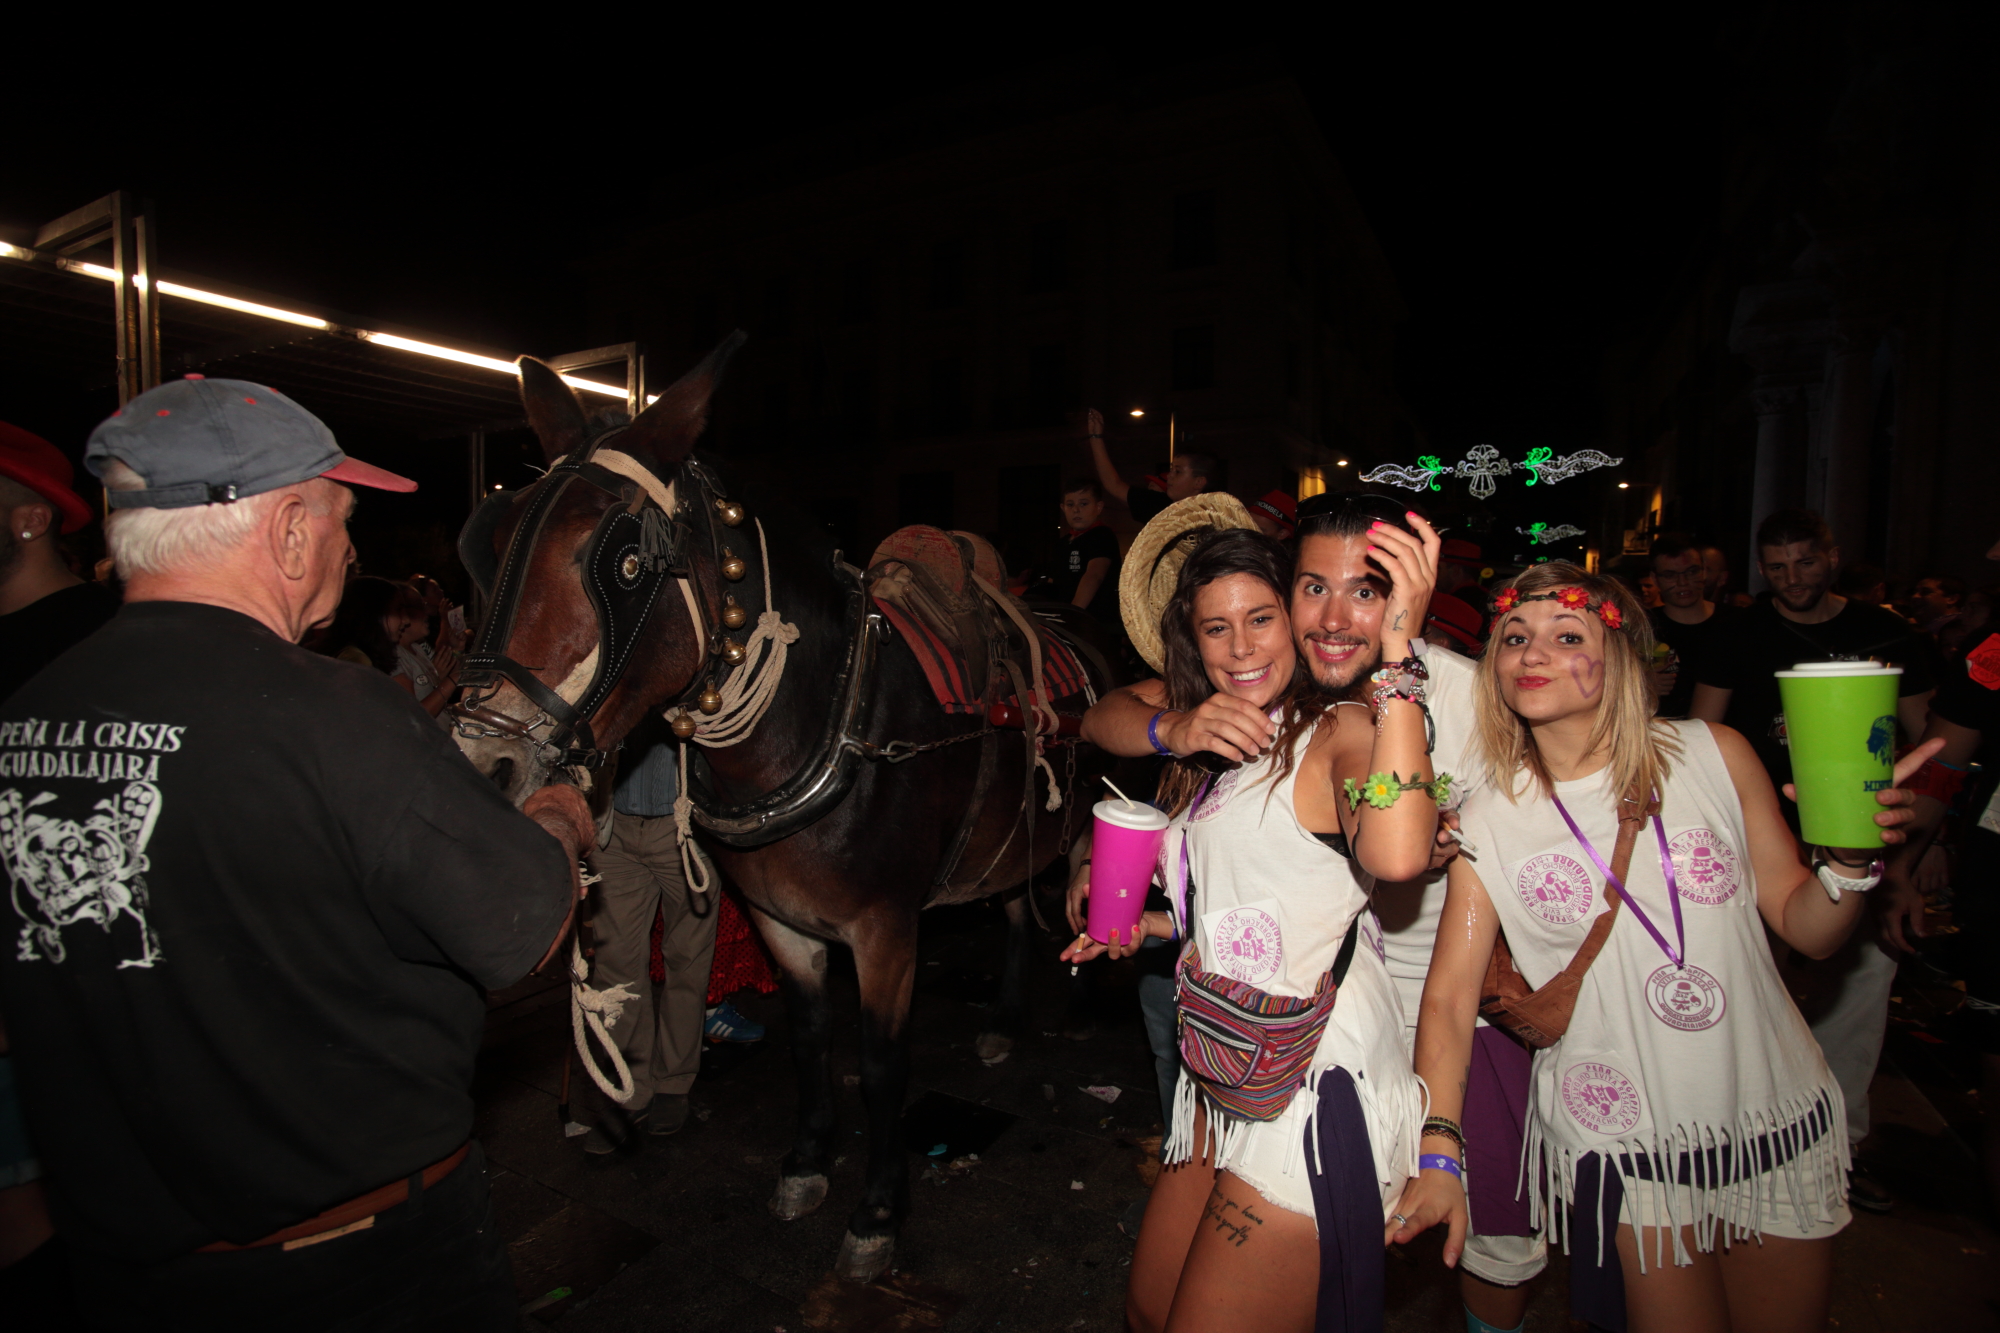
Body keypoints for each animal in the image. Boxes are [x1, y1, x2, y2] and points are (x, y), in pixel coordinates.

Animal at [450, 338, 1116, 1281]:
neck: (822, 718)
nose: (487, 762)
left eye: (625, 565)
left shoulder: (885, 928)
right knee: (1018, 902)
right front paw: (807, 1160)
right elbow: (809, 1039)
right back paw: (1006, 1017)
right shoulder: (781, 920)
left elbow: (881, 1061)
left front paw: (877, 1208)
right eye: (490, 544)